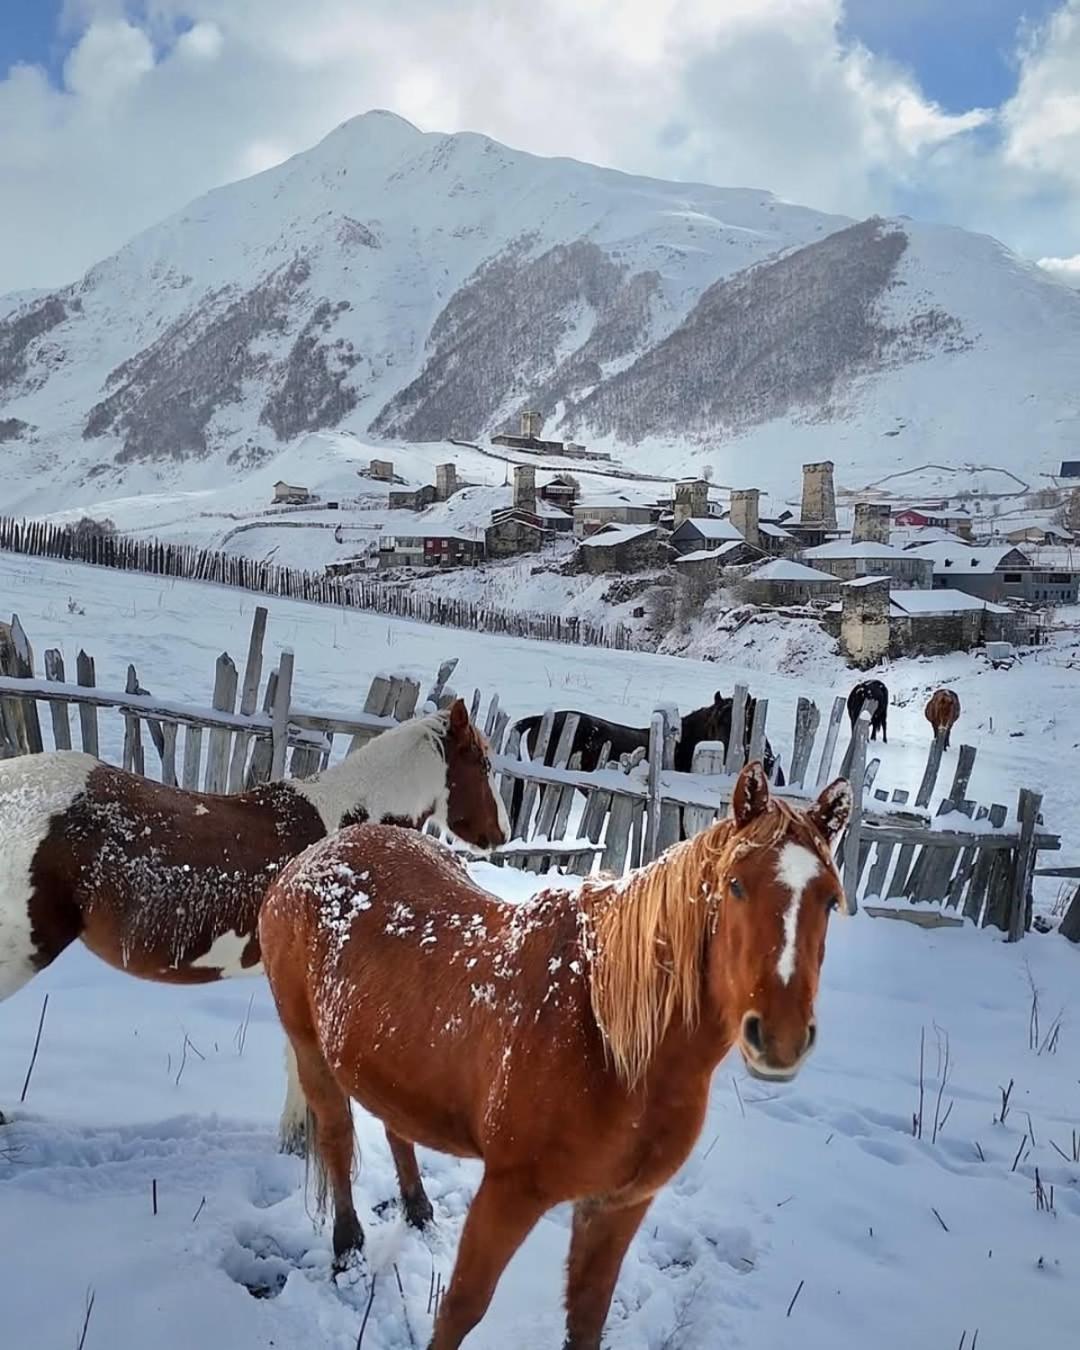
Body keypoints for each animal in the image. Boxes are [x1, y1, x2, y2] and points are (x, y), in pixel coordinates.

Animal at [259, 766, 853, 1344]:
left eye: (829, 899)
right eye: (735, 886)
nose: (779, 1037)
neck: (613, 1046)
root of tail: (307, 861)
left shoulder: (619, 1206)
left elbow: (586, 1320)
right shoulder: (511, 1192)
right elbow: (461, 1308)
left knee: (395, 1124)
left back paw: (418, 1210)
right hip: (310, 1049)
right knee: (337, 1139)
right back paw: (348, 1251)